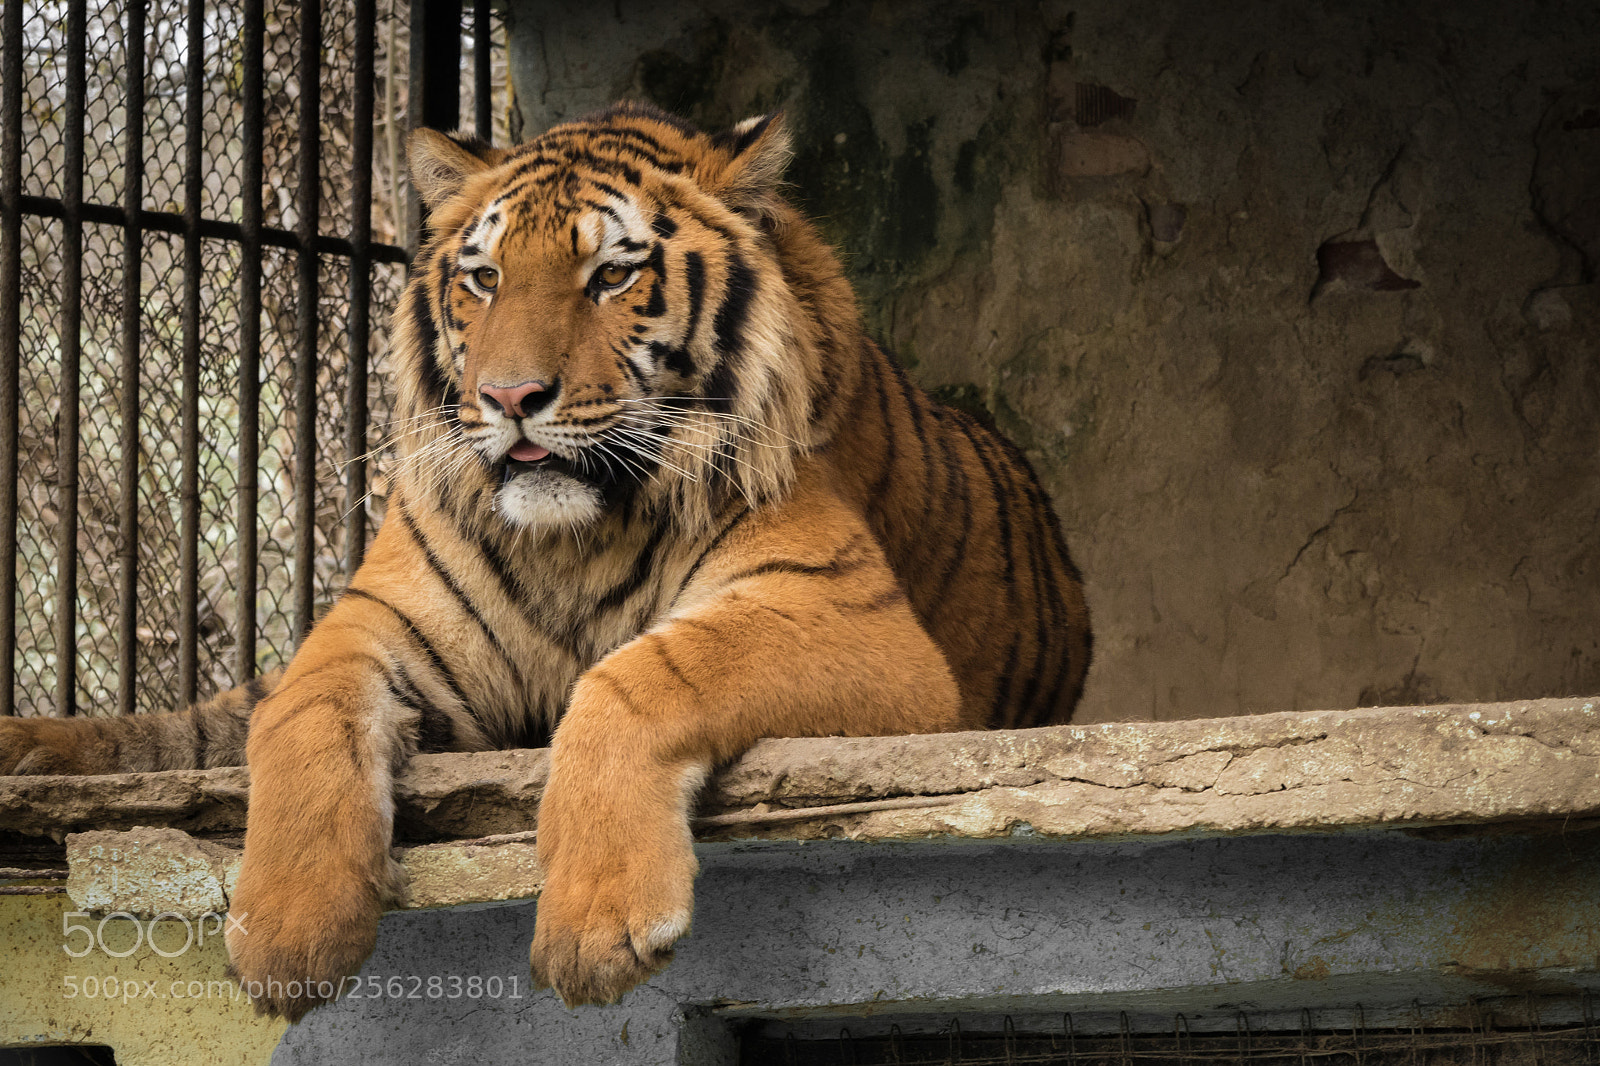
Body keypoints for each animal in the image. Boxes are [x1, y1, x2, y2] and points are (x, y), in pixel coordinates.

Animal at [0, 102, 1092, 1019]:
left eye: (611, 276)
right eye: (484, 279)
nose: (510, 397)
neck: (575, 536)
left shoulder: (847, 615)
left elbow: (634, 679)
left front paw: (594, 927)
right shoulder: (374, 624)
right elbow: (299, 721)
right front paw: (284, 935)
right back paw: (32, 748)